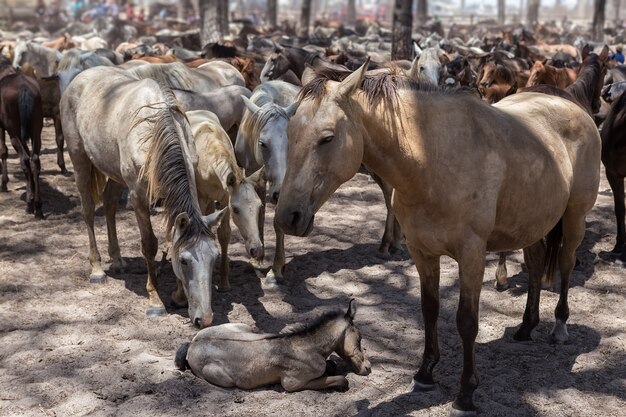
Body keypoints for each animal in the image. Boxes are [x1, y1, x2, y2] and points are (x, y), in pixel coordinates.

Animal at [0, 57, 44, 218]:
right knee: (35, 160)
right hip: (36, 130)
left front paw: (4, 183)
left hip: (14, 132)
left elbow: (3, 151)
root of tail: (24, 88)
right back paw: (38, 206)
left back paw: (30, 205)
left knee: (25, 159)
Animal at [60, 67, 224, 328]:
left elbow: (172, 237)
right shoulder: (138, 196)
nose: (205, 319)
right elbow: (150, 244)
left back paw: (117, 260)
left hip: (115, 174)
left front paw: (178, 296)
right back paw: (97, 269)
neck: (155, 133)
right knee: (87, 210)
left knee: (109, 206)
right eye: (184, 261)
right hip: (80, 161)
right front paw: (155, 301)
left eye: (215, 258)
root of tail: (80, 77)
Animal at [174, 300, 370, 390]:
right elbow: (342, 379)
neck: (305, 347)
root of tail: (193, 344)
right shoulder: (293, 384)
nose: (368, 368)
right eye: (359, 338)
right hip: (224, 380)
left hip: (244, 327)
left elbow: (332, 366)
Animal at [274, 63, 600, 414]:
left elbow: (467, 321)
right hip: (531, 223)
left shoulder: (472, 256)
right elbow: (429, 310)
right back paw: (526, 327)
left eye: (327, 138)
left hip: (574, 219)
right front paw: (425, 373)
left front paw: (466, 392)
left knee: (565, 265)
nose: (287, 217)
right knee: (536, 265)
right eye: (290, 134)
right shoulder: (422, 253)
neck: (433, 160)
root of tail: (573, 106)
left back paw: (559, 327)